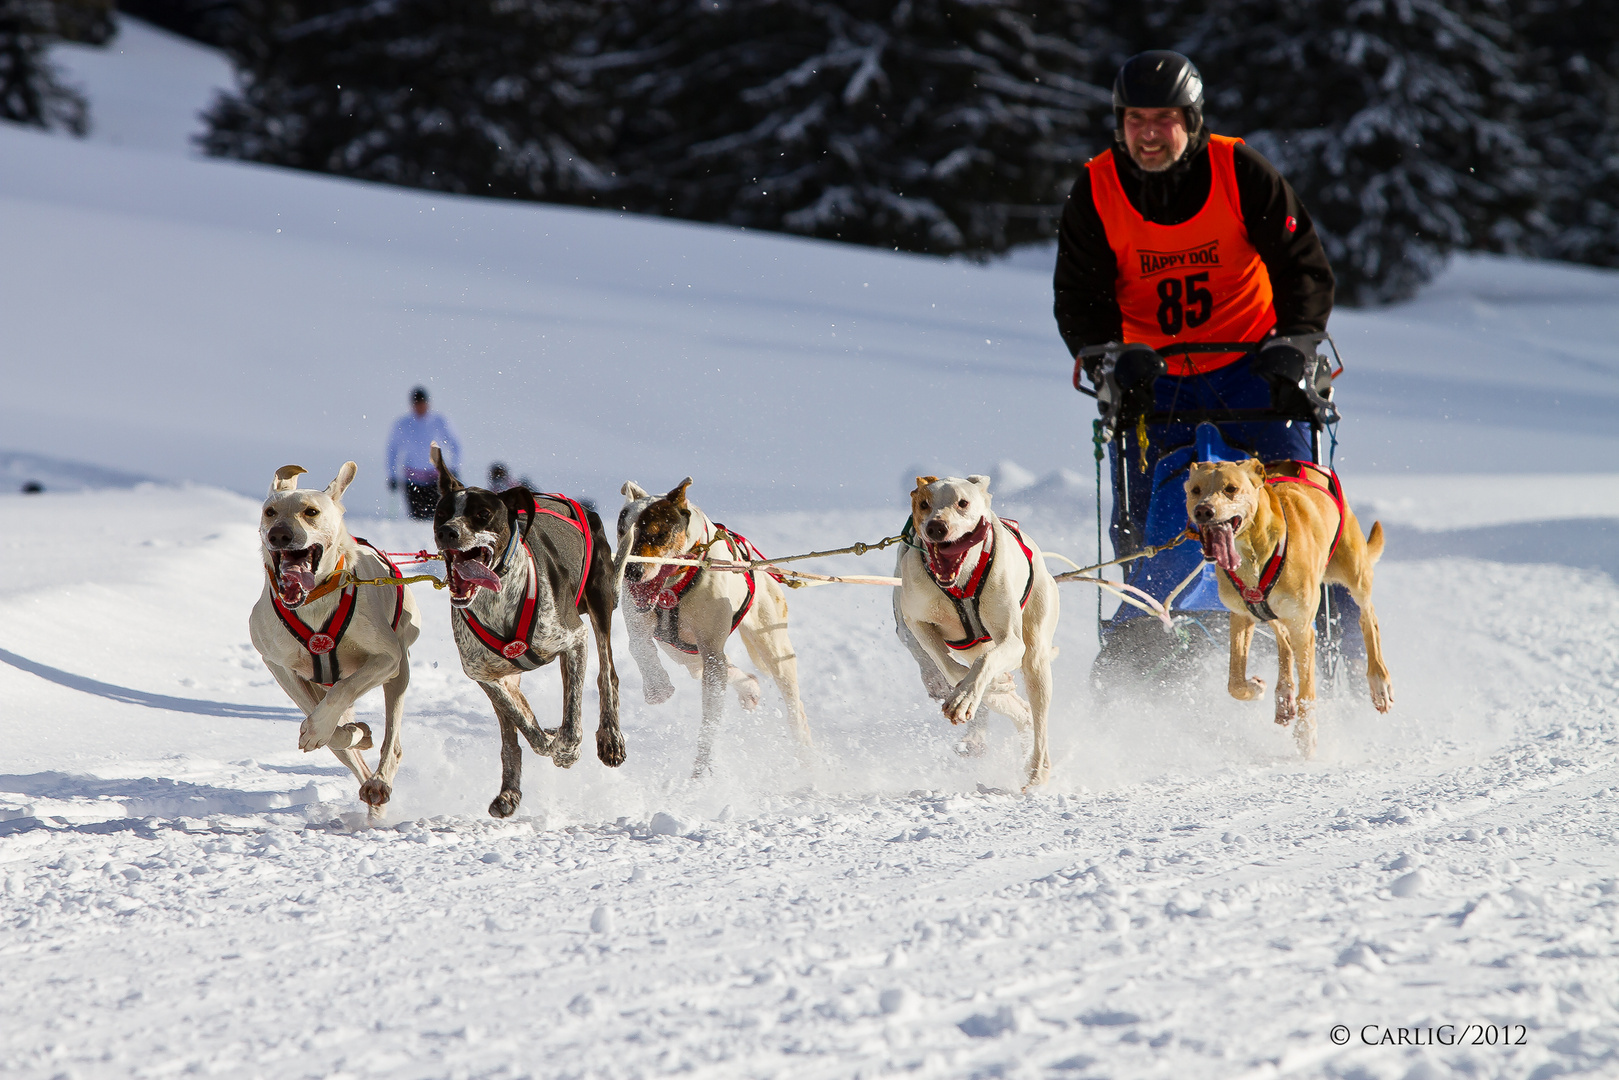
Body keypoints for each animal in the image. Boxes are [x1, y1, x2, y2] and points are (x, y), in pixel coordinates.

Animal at [246, 459, 420, 816]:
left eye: (311, 511)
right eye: (270, 511)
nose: (279, 534)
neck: (313, 602)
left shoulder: (386, 658)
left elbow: (344, 690)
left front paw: (324, 728)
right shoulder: (278, 665)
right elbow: (326, 727)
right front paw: (349, 733)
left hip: (400, 672)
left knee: (392, 740)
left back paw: (380, 781)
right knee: (348, 751)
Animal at [618, 479, 815, 777]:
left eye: (657, 533)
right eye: (622, 531)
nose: (630, 571)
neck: (673, 587)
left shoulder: (711, 649)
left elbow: (709, 725)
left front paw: (701, 772)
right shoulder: (642, 621)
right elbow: (637, 644)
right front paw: (657, 686)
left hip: (774, 648)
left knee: (792, 704)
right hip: (683, 650)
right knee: (721, 667)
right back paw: (749, 687)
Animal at [893, 476, 1055, 790]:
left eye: (963, 503)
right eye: (924, 504)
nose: (936, 527)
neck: (960, 583)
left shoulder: (1012, 641)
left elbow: (986, 662)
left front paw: (964, 697)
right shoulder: (916, 621)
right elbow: (946, 663)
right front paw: (978, 691)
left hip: (1036, 657)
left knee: (1039, 717)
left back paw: (1037, 771)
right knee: (1021, 711)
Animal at [1185, 453, 1398, 751]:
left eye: (1231, 489)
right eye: (1195, 490)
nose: (1204, 510)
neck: (1253, 557)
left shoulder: (1303, 626)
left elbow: (1308, 690)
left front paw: (1307, 735)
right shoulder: (1241, 616)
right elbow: (1234, 682)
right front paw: (1256, 687)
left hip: (1355, 575)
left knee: (1368, 619)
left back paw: (1379, 683)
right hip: (1272, 613)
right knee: (1283, 642)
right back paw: (1283, 696)